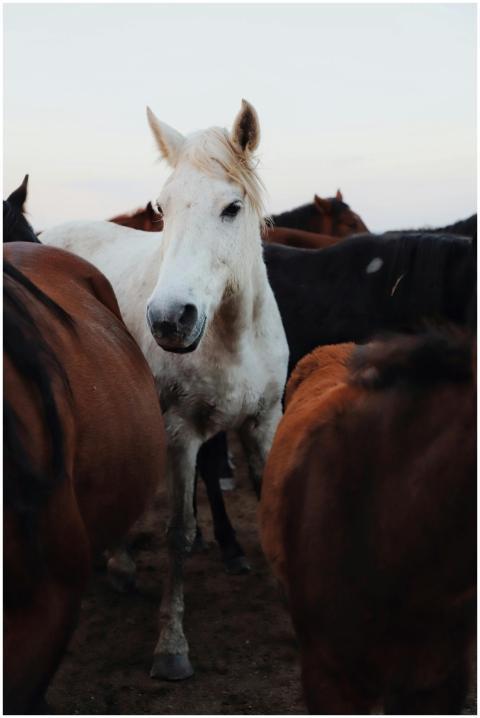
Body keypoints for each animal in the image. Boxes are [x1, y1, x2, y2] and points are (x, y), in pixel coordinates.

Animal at [39, 99, 289, 681]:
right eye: (162, 206)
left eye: (232, 207)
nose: (170, 319)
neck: (234, 336)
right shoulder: (181, 435)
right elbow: (180, 535)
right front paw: (171, 647)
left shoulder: (264, 421)